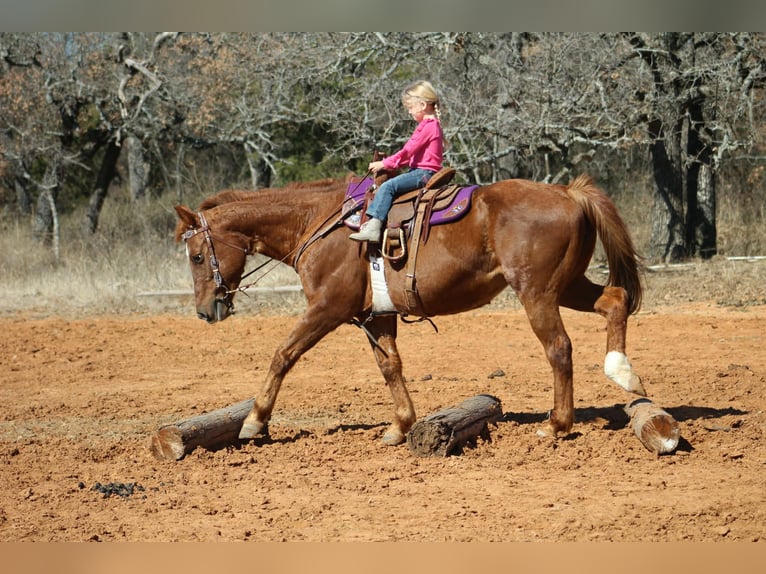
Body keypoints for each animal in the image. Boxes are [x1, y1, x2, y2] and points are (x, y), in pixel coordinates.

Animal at [174, 172, 645, 446]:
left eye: (196, 256)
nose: (205, 310)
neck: (318, 223)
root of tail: (569, 193)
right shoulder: (375, 316)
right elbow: (391, 367)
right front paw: (400, 425)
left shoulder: (327, 308)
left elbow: (283, 355)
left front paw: (254, 422)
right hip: (566, 286)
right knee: (615, 301)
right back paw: (622, 372)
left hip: (537, 293)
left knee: (559, 349)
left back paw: (557, 424)